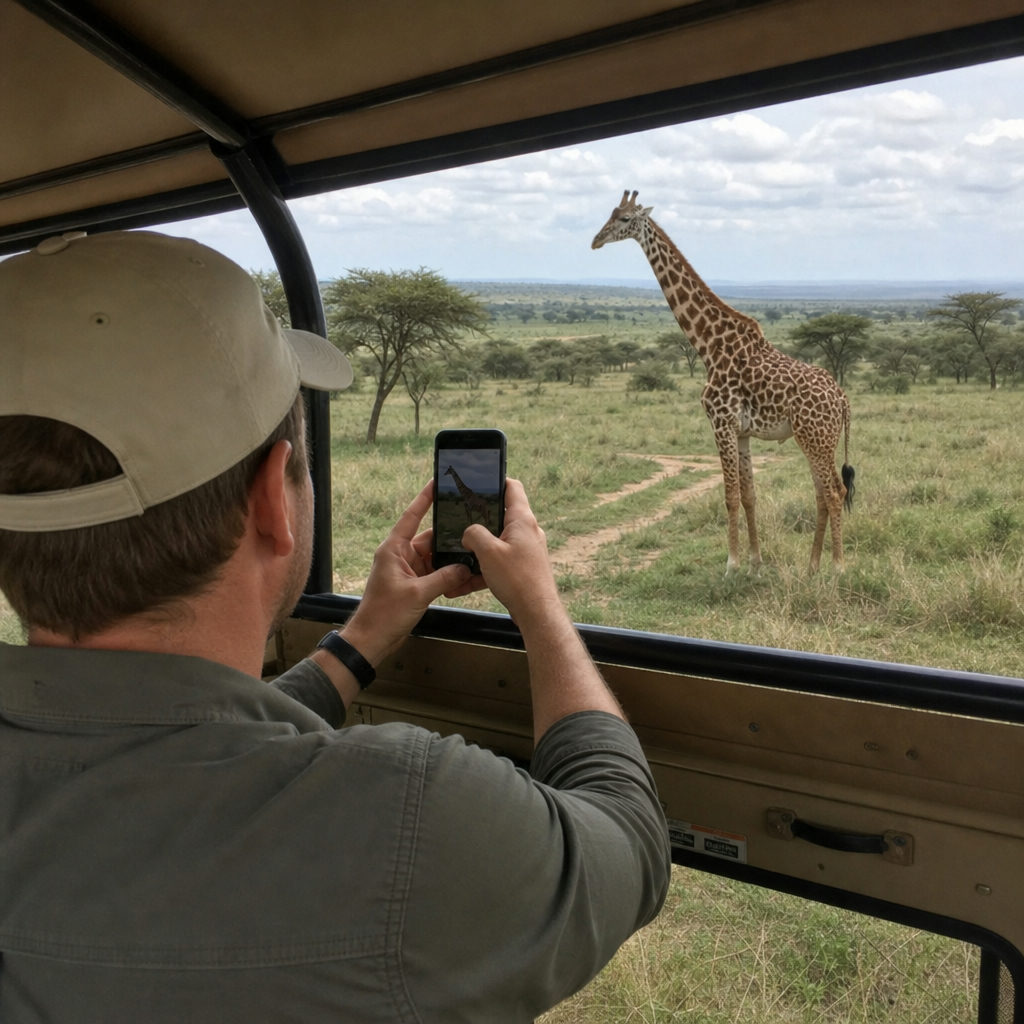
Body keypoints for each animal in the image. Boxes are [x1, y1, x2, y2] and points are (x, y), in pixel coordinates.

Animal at [592, 190, 854, 573]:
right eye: (609, 214)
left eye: (625, 219)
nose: (596, 240)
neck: (708, 345)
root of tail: (843, 398)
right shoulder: (741, 430)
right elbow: (749, 495)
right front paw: (755, 563)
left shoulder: (720, 422)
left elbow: (730, 494)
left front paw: (731, 565)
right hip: (818, 439)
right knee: (824, 492)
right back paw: (812, 566)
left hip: (816, 438)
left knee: (835, 492)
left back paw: (836, 568)